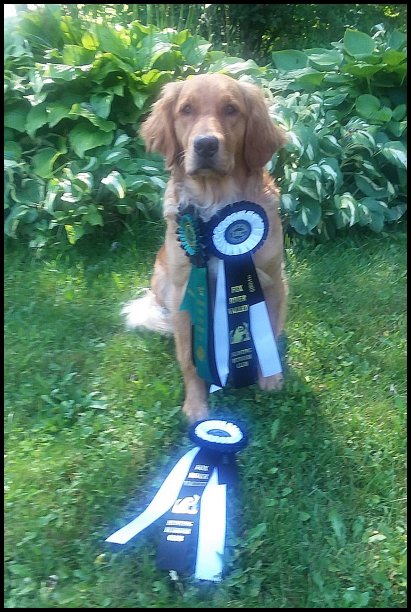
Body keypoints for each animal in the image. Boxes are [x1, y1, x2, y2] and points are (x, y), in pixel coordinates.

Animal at [124, 73, 288, 420]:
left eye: (231, 109)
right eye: (186, 109)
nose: (206, 144)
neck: (217, 201)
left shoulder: (273, 279)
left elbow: (269, 329)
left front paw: (270, 377)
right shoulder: (184, 291)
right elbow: (189, 357)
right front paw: (197, 405)